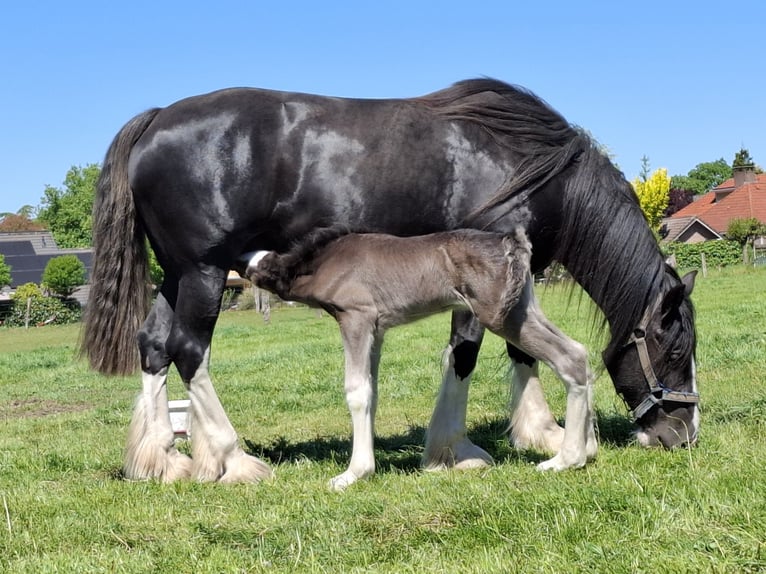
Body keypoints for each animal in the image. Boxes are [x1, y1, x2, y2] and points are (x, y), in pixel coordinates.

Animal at [245, 227, 596, 489]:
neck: (323, 258)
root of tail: (511, 242)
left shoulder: (356, 317)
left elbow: (357, 392)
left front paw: (354, 474)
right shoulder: (377, 330)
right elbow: (372, 391)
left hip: (500, 316)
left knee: (569, 358)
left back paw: (566, 459)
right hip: (522, 310)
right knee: (579, 351)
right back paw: (586, 449)